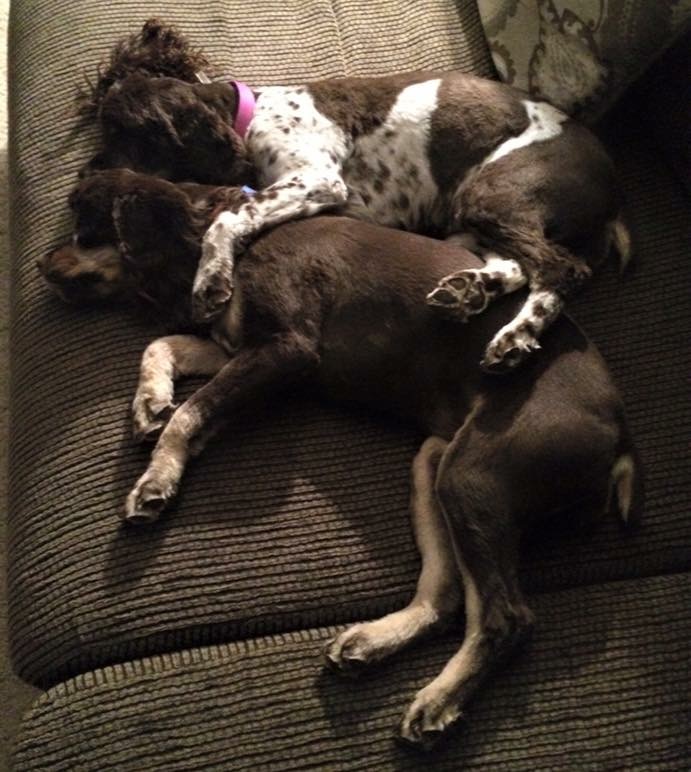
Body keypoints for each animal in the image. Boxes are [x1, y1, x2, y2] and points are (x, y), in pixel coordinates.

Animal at [40, 168, 642, 748]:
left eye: (82, 227)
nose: (42, 267)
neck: (216, 238)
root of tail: (621, 436)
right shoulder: (240, 348)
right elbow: (162, 348)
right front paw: (149, 404)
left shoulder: (286, 349)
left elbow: (191, 412)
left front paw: (155, 483)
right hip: (435, 467)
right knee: (446, 597)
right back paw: (372, 643)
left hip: (474, 478)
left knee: (508, 617)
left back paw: (437, 703)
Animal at [79, 20, 630, 372]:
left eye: (123, 133)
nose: (83, 179)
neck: (247, 115)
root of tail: (610, 189)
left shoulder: (319, 180)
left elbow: (232, 214)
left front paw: (210, 278)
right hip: (468, 218)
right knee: (521, 262)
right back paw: (467, 292)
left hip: (490, 193)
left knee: (561, 267)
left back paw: (516, 336)